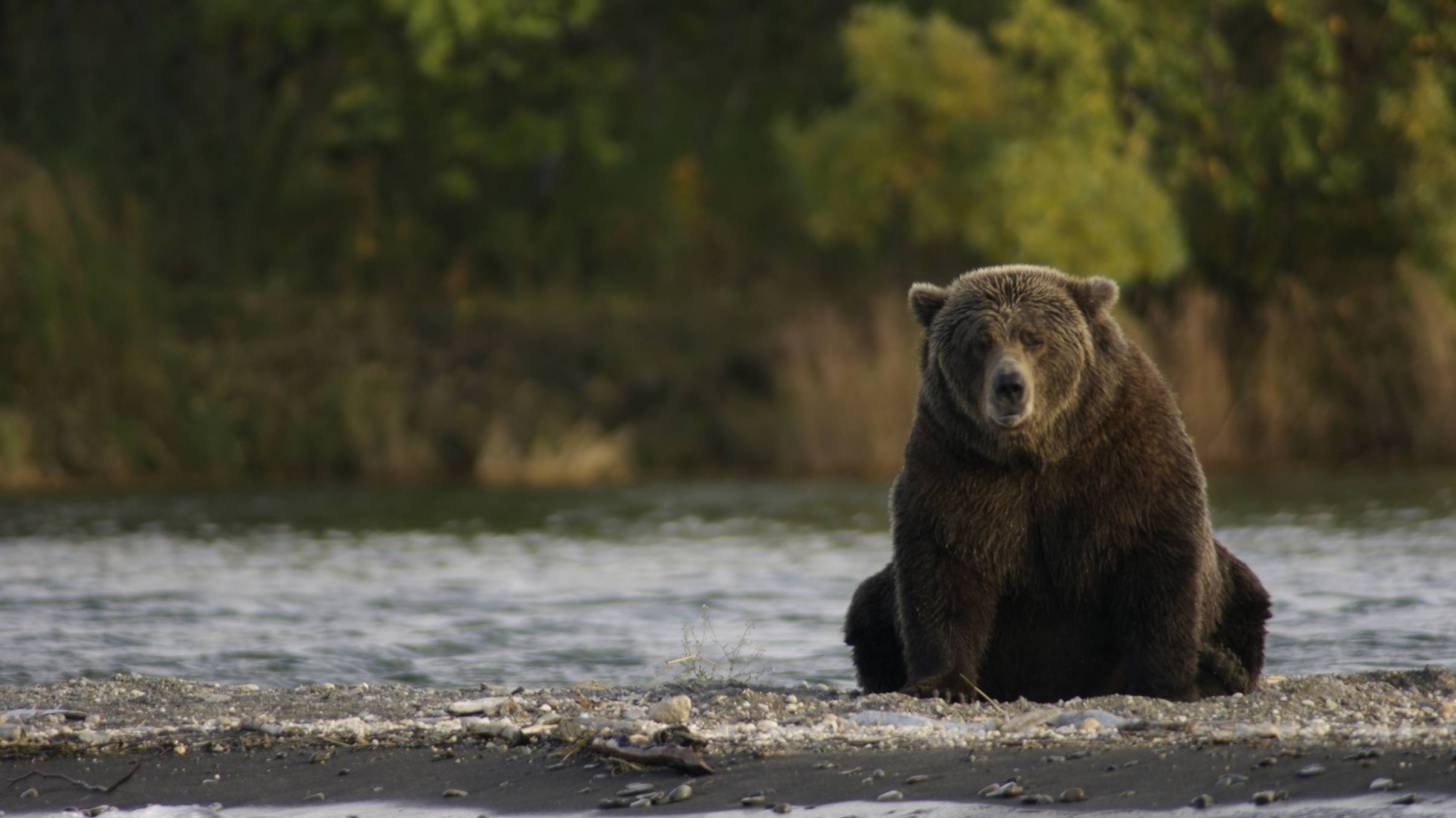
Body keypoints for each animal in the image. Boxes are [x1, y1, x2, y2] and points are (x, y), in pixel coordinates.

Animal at [844, 264, 1270, 703]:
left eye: (1035, 338)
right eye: (980, 341)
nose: (1010, 386)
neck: (1036, 452)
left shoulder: (1127, 454)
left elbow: (1158, 561)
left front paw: (1167, 682)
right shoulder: (954, 462)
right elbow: (944, 566)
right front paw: (942, 684)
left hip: (1233, 589)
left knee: (1246, 596)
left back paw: (1219, 668)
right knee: (868, 606)